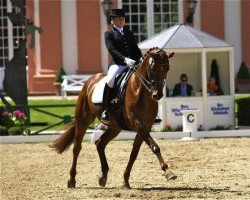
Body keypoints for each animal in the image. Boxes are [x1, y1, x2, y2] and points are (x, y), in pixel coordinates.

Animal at [50, 47, 176, 188]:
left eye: (167, 68)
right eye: (153, 67)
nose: (157, 95)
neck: (140, 91)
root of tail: (90, 80)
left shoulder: (146, 126)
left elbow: (134, 153)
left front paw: (126, 180)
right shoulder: (138, 124)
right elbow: (155, 147)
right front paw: (168, 172)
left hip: (115, 127)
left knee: (100, 144)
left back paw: (103, 177)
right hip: (83, 121)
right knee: (77, 148)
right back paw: (72, 180)